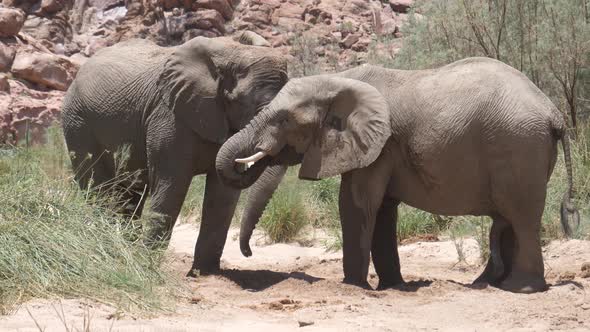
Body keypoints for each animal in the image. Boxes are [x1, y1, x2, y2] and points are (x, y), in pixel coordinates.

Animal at [61, 35, 290, 276]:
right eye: (241, 101)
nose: (248, 253)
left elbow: (222, 193)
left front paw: (204, 274)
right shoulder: (168, 115)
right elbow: (173, 183)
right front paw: (148, 266)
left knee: (131, 192)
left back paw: (122, 251)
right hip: (77, 121)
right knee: (98, 188)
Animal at [215, 57, 580, 294]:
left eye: (284, 120)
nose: (248, 253)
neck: (339, 78)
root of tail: (553, 112)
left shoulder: (380, 144)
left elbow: (355, 204)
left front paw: (354, 286)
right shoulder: (381, 148)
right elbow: (383, 209)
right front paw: (392, 286)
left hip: (518, 146)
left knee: (520, 216)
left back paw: (521, 288)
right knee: (505, 219)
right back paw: (488, 284)